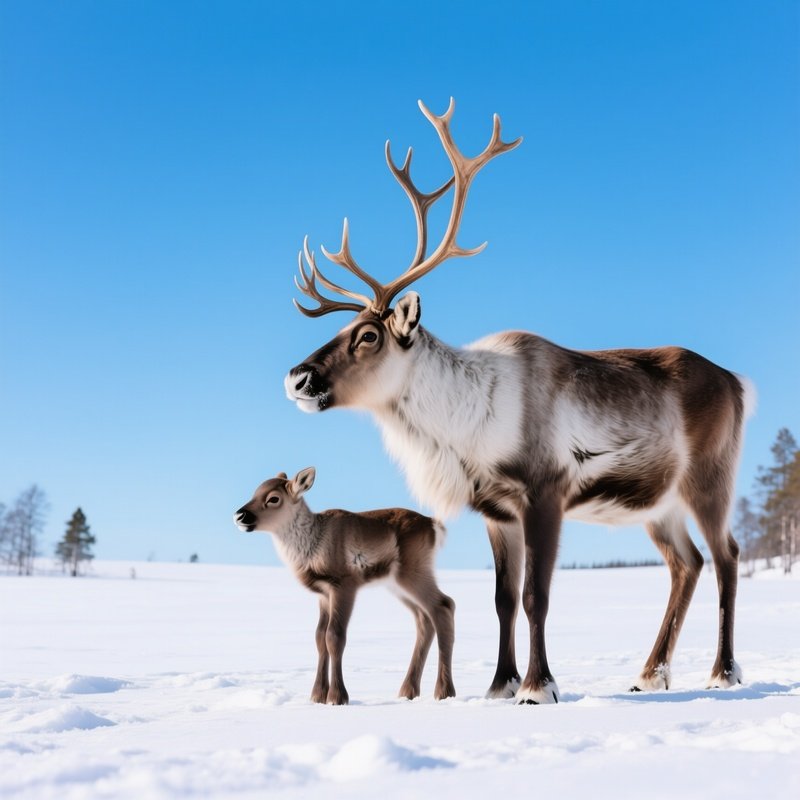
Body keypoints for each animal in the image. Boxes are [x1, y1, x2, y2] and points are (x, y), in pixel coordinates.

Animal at [234, 467, 456, 705]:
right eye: (255, 492)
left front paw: (338, 696)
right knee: (424, 618)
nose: (239, 515)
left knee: (444, 605)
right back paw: (408, 691)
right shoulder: (323, 594)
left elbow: (335, 636)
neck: (311, 547)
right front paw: (317, 695)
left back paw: (444, 691)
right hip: (396, 584)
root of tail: (435, 527)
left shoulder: (344, 583)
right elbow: (319, 637)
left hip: (413, 571)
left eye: (273, 498)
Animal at [284, 98, 755, 704]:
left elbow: (537, 595)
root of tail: (738, 383)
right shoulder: (496, 508)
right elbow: (503, 598)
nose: (297, 377)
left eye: (368, 336)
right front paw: (499, 685)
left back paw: (723, 671)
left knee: (726, 557)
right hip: (660, 502)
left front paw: (538, 685)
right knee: (687, 564)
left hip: (710, 478)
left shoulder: (545, 491)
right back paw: (650, 674)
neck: (463, 426)